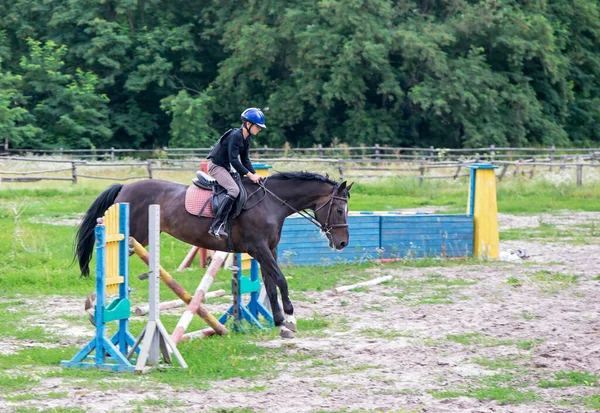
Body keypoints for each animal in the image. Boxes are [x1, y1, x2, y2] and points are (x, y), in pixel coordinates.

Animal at [77, 169, 354, 336]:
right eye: (339, 210)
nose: (342, 244)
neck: (271, 203)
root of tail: (125, 188)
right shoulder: (259, 248)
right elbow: (281, 280)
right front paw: (290, 318)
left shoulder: (269, 250)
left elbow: (270, 283)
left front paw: (279, 322)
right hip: (134, 238)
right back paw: (93, 307)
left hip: (139, 240)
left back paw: (94, 306)